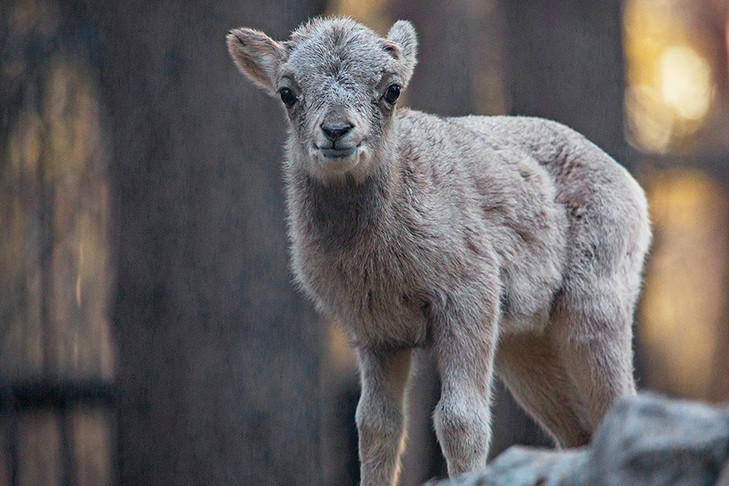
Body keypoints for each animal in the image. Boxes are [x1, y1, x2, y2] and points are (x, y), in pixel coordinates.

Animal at [225, 17, 652, 486]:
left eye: (392, 89)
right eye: (287, 91)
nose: (336, 131)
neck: (379, 263)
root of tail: (636, 194)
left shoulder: (471, 293)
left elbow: (459, 419)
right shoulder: (374, 330)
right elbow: (375, 425)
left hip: (595, 307)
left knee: (619, 401)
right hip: (524, 344)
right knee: (577, 432)